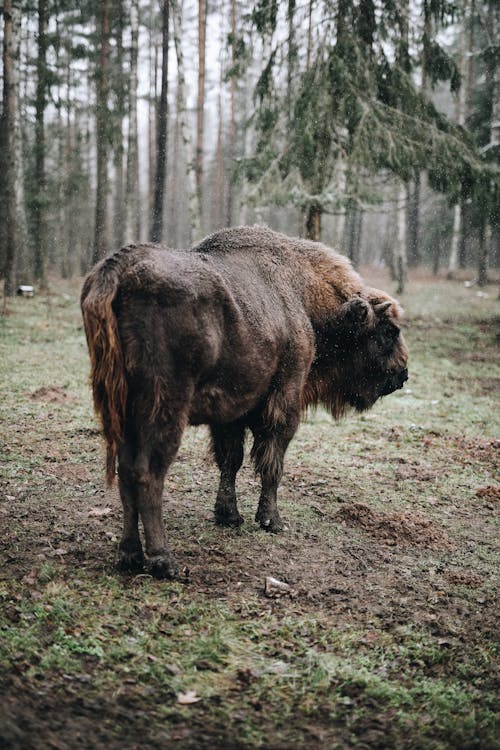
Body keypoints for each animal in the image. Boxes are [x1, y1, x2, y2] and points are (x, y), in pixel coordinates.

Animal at [82, 226, 408, 580]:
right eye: (388, 332)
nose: (402, 374)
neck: (303, 299)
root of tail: (118, 270)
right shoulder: (284, 404)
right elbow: (271, 462)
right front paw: (272, 521)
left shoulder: (230, 414)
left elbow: (231, 460)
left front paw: (229, 516)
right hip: (164, 409)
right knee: (147, 474)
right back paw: (164, 561)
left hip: (122, 411)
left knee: (126, 471)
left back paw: (129, 555)